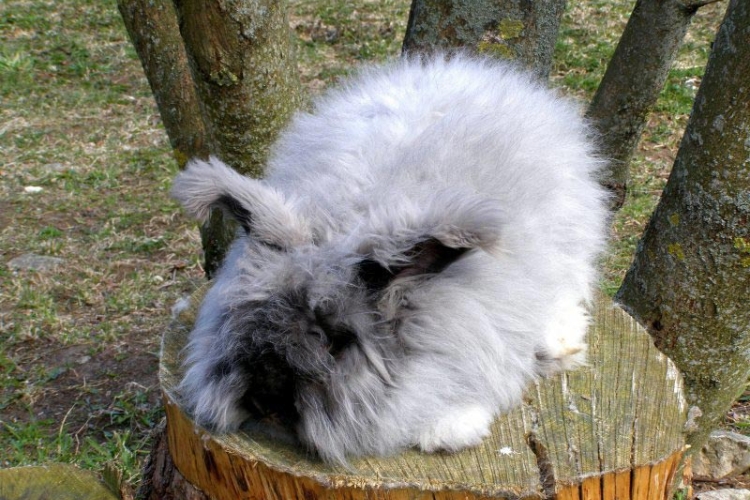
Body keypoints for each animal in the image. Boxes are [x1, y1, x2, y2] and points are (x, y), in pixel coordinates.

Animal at [171, 52, 609, 465]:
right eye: (244, 319)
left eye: (337, 342)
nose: (265, 402)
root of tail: (472, 69)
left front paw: (447, 430)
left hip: (570, 234)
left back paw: (560, 343)